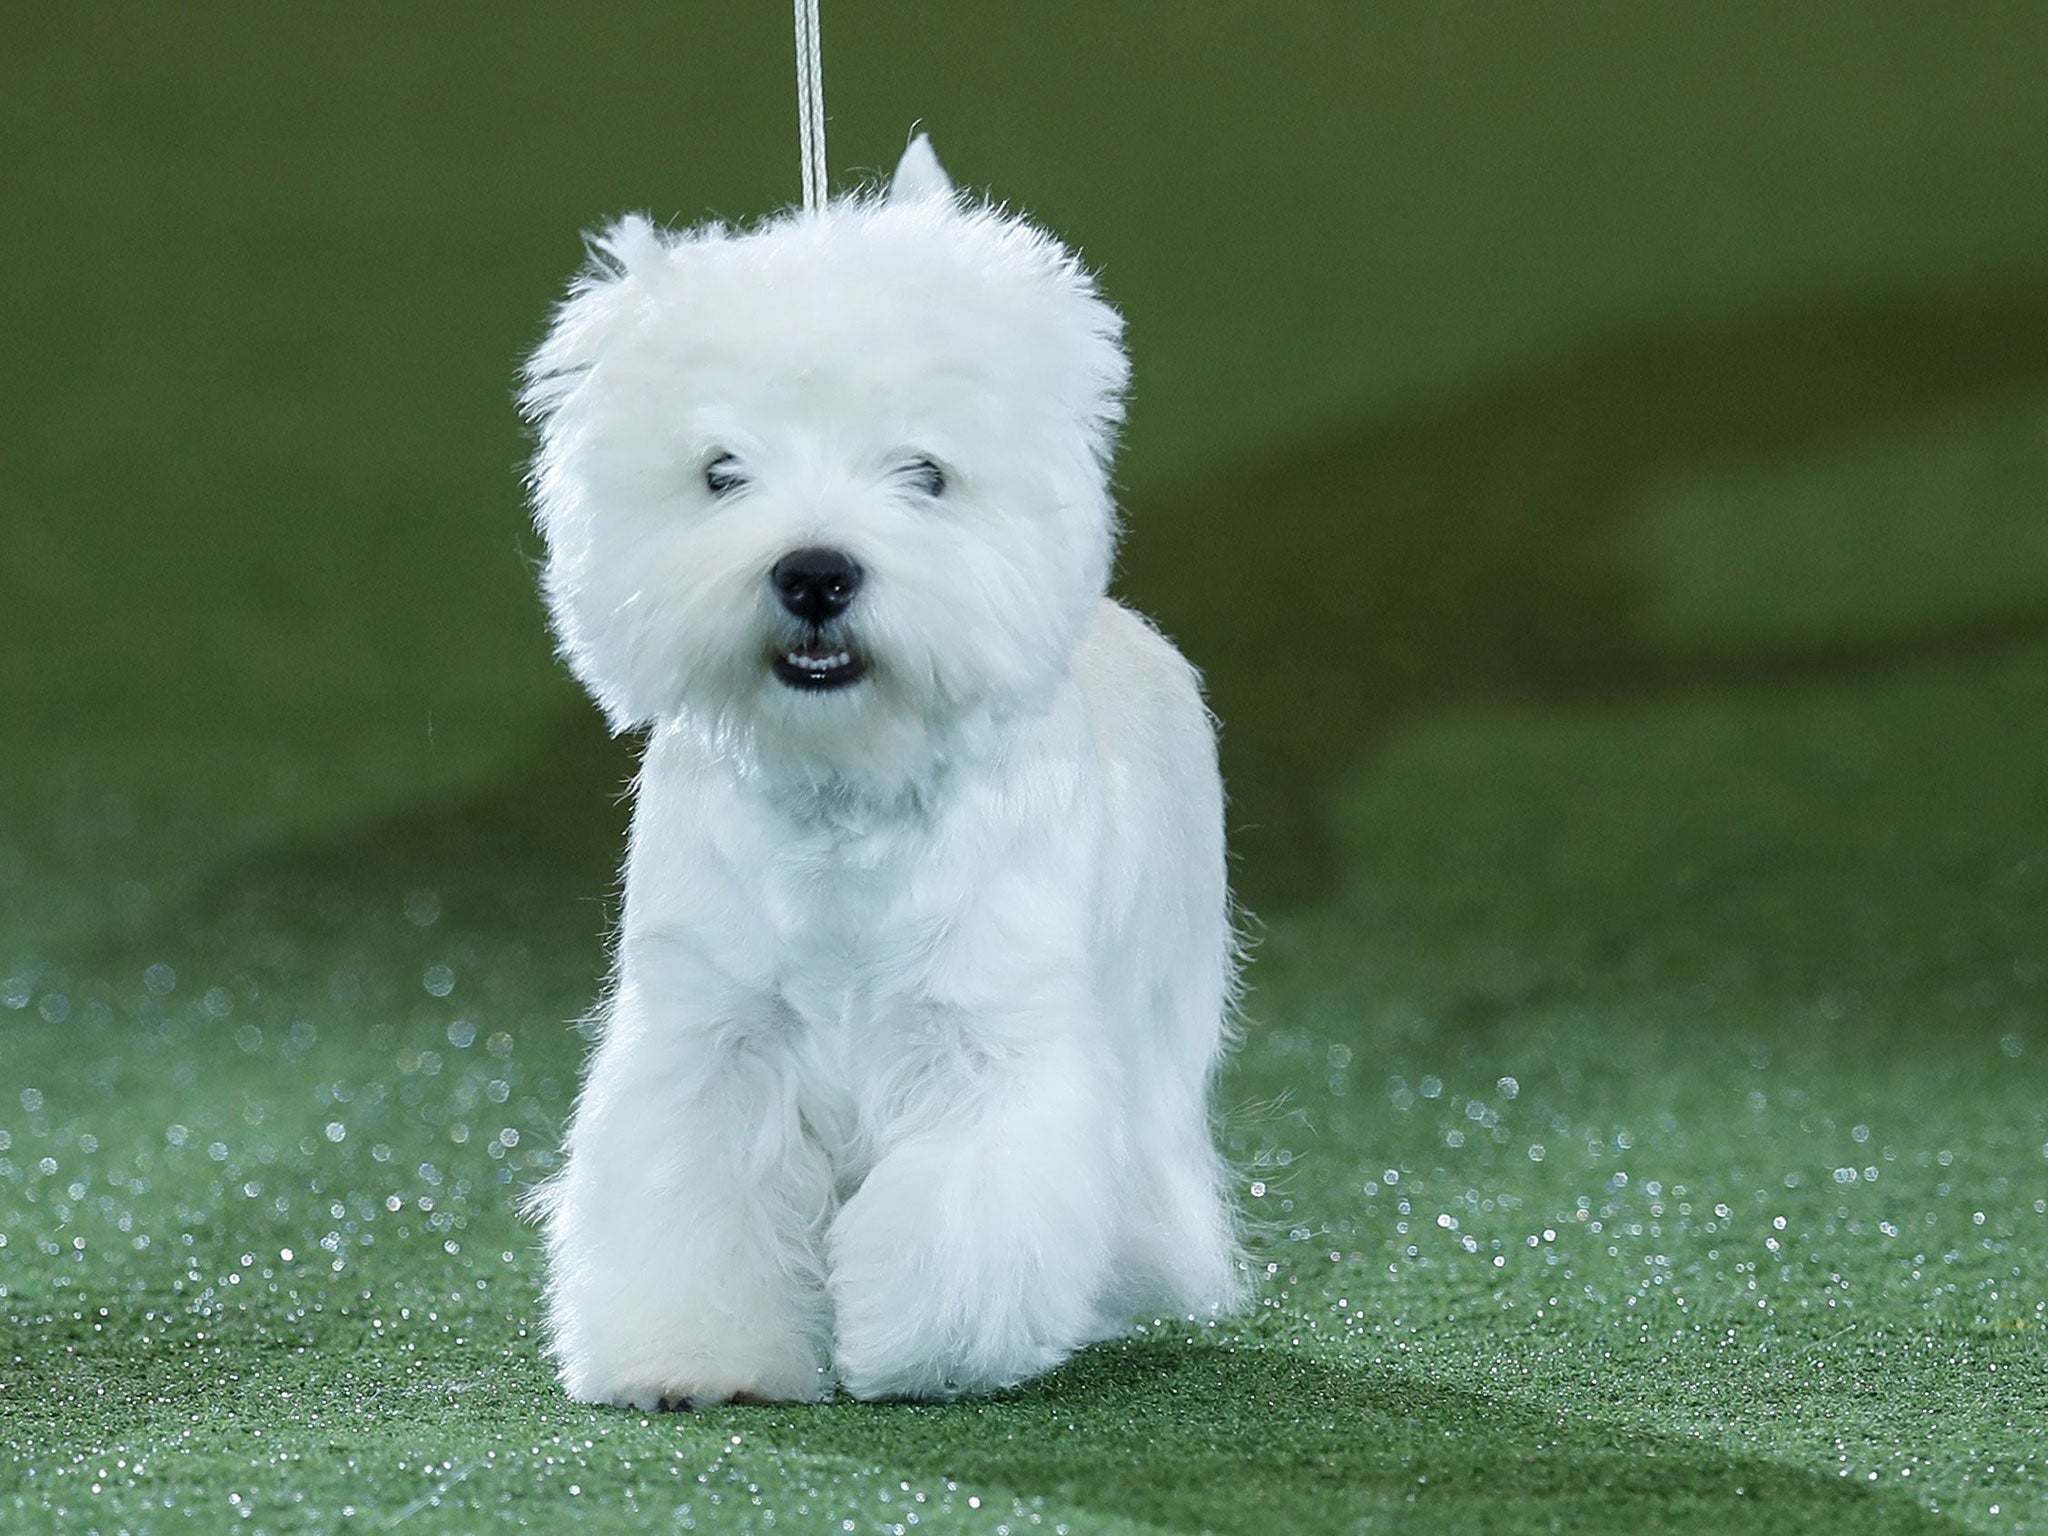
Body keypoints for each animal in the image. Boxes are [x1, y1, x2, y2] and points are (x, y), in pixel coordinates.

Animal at [520, 135, 1236, 1409]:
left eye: (926, 472)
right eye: (720, 472)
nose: (813, 572)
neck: (843, 793)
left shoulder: (988, 1037)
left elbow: (968, 1214)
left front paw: (921, 1346)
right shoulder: (713, 1034)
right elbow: (692, 1199)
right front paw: (691, 1356)